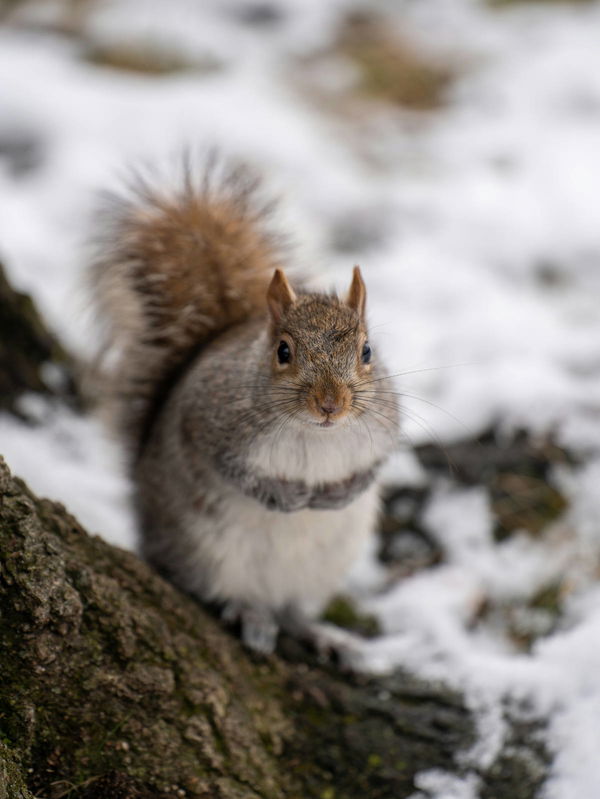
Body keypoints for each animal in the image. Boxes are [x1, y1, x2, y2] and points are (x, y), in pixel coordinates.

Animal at [91, 157, 399, 653]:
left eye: (367, 351)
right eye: (283, 351)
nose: (330, 405)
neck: (315, 434)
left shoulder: (386, 428)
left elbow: (375, 466)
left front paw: (340, 493)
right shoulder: (210, 422)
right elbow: (234, 472)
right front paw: (288, 497)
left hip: (320, 570)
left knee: (293, 607)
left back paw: (316, 632)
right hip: (205, 552)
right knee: (220, 590)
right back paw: (250, 614)